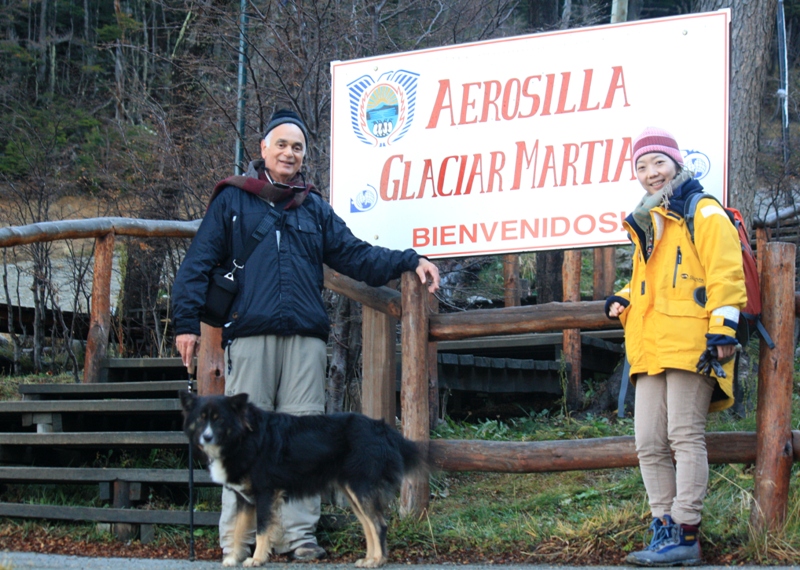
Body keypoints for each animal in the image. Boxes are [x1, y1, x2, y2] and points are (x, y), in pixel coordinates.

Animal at [177, 392, 424, 564]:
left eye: (219, 420)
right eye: (201, 419)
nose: (206, 437)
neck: (244, 436)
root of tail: (383, 428)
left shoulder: (265, 493)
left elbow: (262, 530)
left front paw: (256, 559)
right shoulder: (244, 499)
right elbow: (238, 530)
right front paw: (233, 559)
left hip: (361, 489)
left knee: (379, 525)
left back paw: (378, 561)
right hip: (354, 493)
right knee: (369, 525)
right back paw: (370, 558)